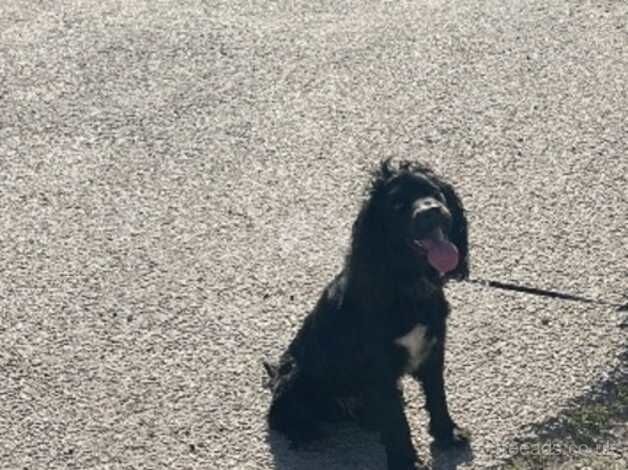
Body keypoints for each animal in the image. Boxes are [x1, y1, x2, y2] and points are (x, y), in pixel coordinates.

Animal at [262, 160, 468, 468]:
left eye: (434, 192)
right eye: (397, 205)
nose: (430, 211)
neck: (406, 286)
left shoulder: (433, 349)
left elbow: (437, 397)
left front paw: (447, 434)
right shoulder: (378, 368)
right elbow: (396, 421)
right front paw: (405, 461)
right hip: (295, 373)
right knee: (280, 413)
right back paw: (306, 432)